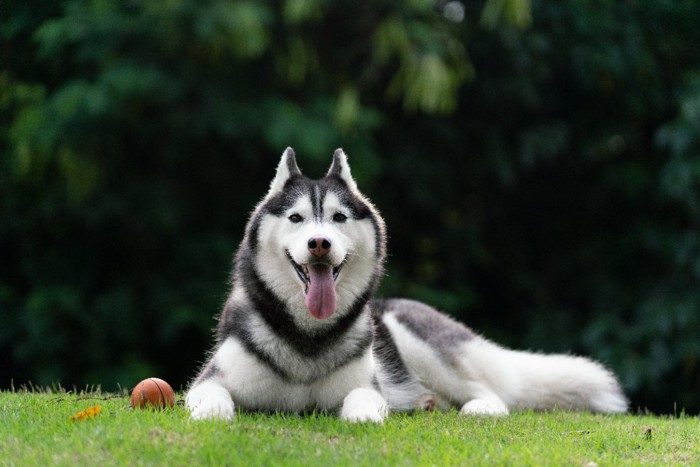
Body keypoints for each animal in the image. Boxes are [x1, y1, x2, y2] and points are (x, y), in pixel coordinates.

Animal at [186, 148, 628, 422]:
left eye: (339, 218)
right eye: (296, 218)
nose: (319, 243)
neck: (308, 336)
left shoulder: (368, 384)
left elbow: (364, 397)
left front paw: (364, 415)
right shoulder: (210, 380)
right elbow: (209, 397)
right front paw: (211, 414)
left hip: (416, 342)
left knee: (491, 393)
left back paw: (477, 408)